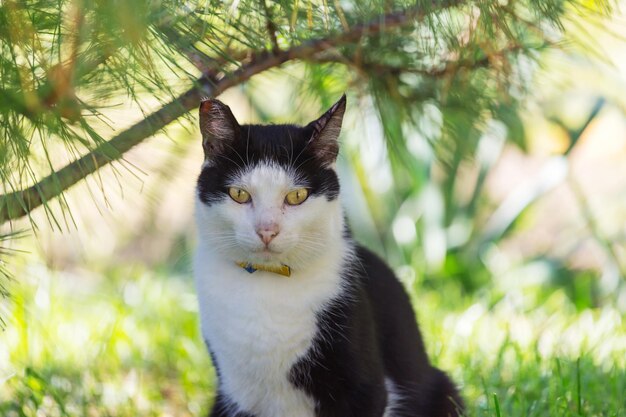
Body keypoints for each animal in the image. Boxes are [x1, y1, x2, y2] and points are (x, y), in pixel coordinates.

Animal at [193, 95, 460, 416]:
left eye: (297, 196)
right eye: (239, 194)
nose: (267, 230)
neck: (268, 286)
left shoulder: (366, 390)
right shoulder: (236, 393)